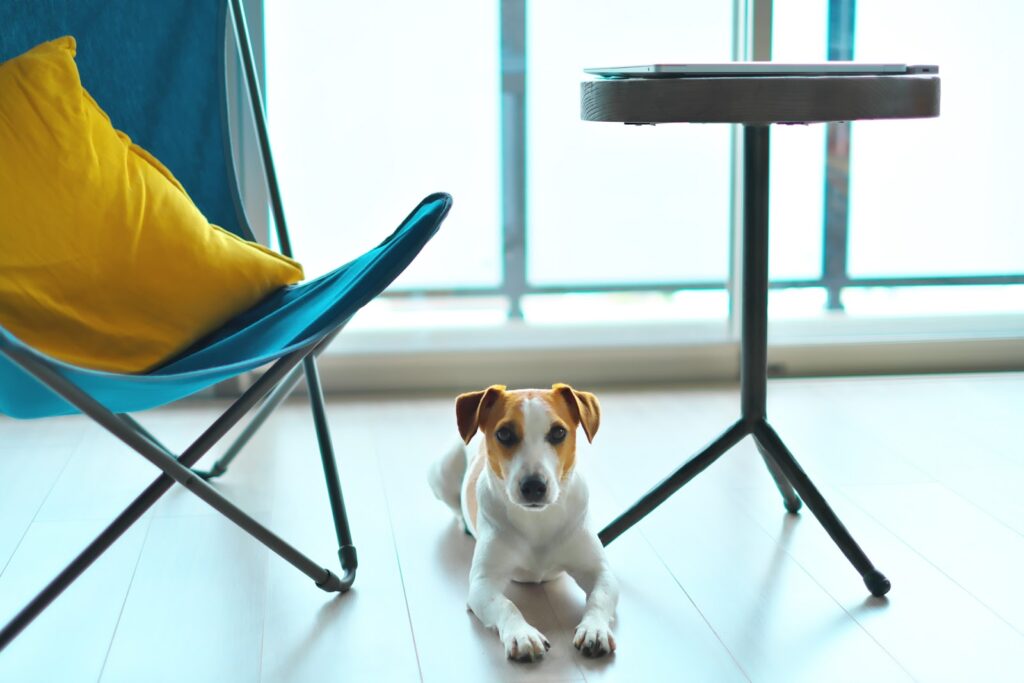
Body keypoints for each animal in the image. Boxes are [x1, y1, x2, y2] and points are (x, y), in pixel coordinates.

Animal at [428, 385, 618, 663]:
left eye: (558, 432)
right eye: (504, 434)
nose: (534, 486)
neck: (537, 522)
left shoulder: (601, 572)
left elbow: (599, 598)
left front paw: (594, 628)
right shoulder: (482, 583)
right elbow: (507, 605)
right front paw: (522, 635)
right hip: (441, 474)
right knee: (453, 503)